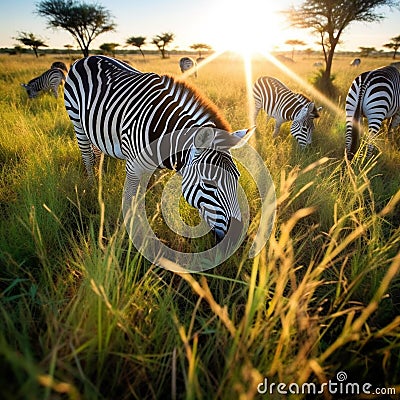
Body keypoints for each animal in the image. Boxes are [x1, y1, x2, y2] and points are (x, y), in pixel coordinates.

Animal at [65, 54, 253, 242]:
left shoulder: (157, 164)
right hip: (77, 121)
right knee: (87, 156)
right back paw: (92, 186)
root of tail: (89, 57)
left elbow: (153, 188)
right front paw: (133, 230)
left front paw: (157, 214)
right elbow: (131, 199)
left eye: (237, 177)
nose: (237, 236)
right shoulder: (132, 167)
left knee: (97, 153)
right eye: (209, 184)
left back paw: (100, 178)